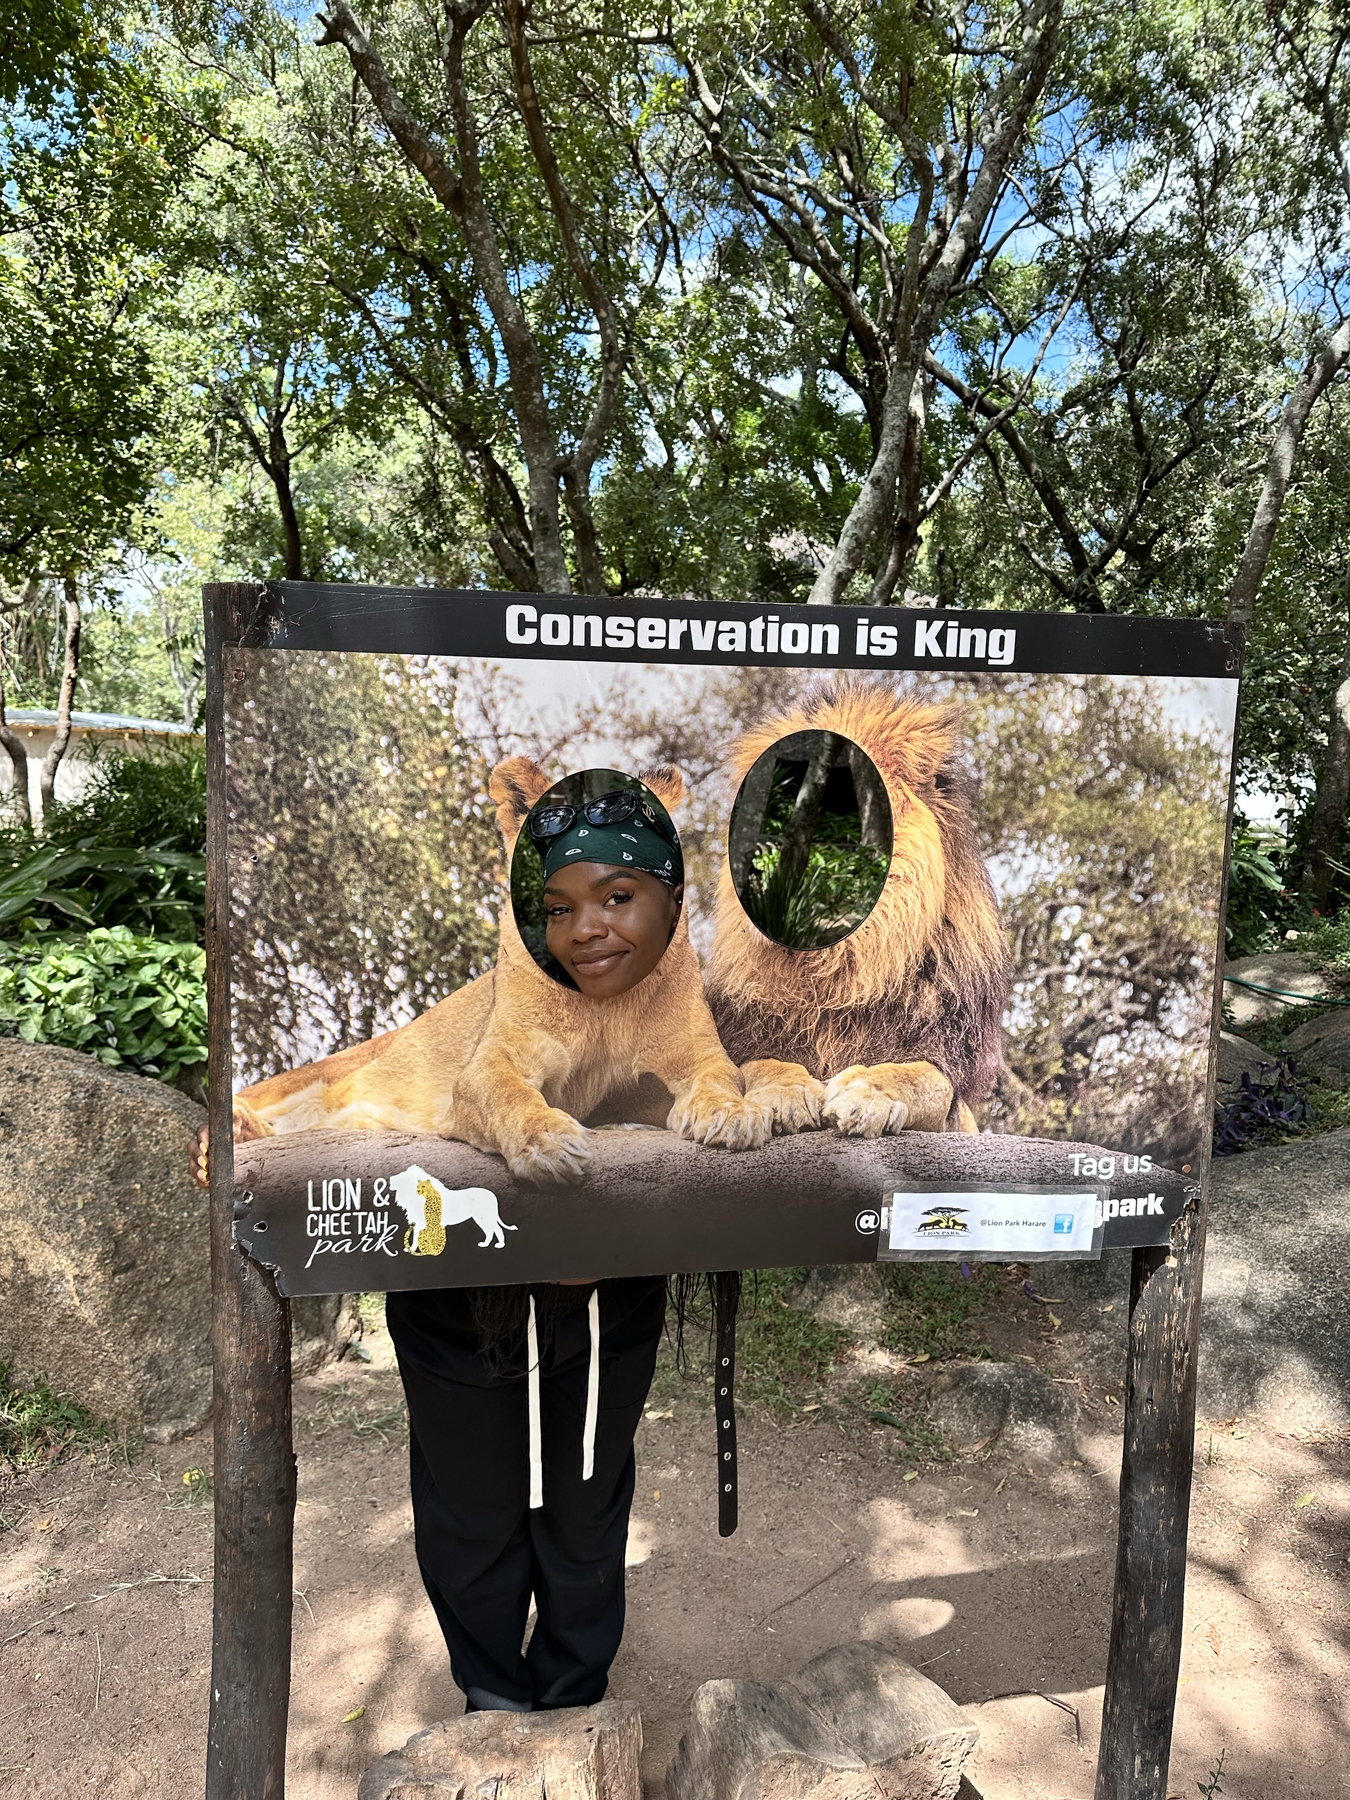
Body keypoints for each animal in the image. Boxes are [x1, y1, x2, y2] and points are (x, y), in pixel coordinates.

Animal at [225, 759, 777, 1180]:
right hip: (320, 1071)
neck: (600, 1002)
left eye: (616, 895)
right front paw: (547, 1141)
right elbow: (507, 1096)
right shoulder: (489, 1065)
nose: (584, 933)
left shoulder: (692, 1058)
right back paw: (237, 1126)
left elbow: (722, 1077)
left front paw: (731, 1114)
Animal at [709, 680, 1015, 1130]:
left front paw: (865, 1092)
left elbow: (919, 1077)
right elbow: (762, 1064)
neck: (839, 970)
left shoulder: (944, 1062)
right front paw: (787, 1093)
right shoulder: (746, 1034)